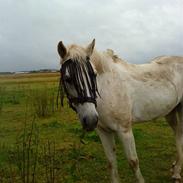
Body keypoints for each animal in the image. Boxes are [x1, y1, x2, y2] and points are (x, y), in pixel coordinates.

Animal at [57, 39, 183, 182]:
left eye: (94, 74)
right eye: (68, 79)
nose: (90, 120)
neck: (108, 88)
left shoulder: (124, 130)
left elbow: (133, 162)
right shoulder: (103, 132)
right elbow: (111, 163)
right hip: (171, 111)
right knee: (178, 134)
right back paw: (176, 170)